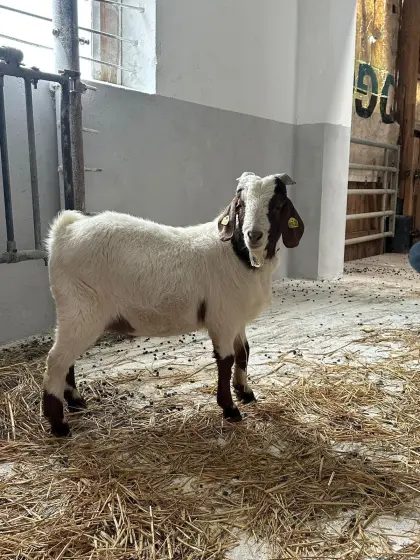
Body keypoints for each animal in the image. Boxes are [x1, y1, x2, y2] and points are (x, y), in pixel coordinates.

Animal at [43, 172, 304, 436]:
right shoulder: (222, 318)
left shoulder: (236, 318)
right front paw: (230, 409)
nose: (254, 235)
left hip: (73, 313)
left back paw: (75, 402)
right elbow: (226, 361)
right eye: (240, 205)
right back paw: (59, 424)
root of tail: (65, 231)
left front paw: (245, 393)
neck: (236, 255)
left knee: (67, 359)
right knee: (56, 360)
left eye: (278, 205)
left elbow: (244, 352)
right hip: (81, 308)